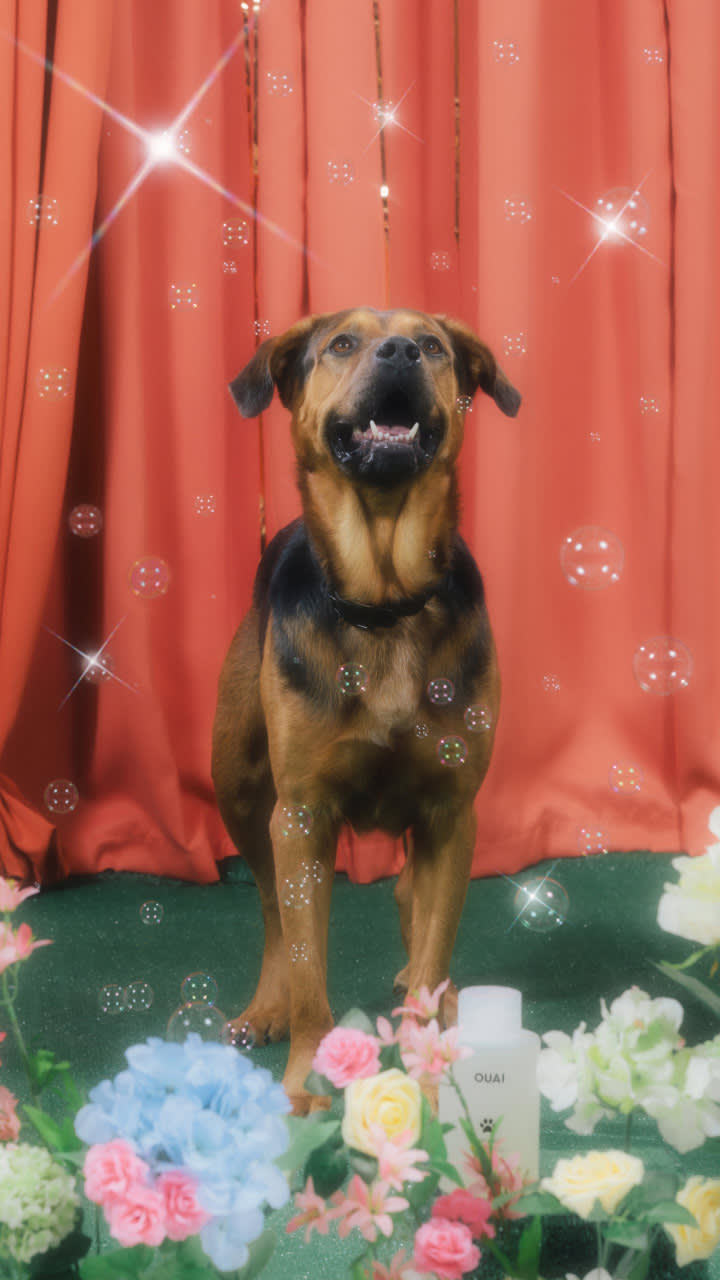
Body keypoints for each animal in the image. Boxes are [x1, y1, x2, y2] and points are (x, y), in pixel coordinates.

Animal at [210, 309, 517, 1111]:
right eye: (341, 344)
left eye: (434, 346)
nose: (401, 351)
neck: (385, 601)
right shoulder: (301, 816)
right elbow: (307, 966)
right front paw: (306, 1076)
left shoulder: (450, 811)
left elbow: (434, 936)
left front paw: (429, 1070)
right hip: (239, 787)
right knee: (270, 912)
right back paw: (265, 1008)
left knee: (416, 908)